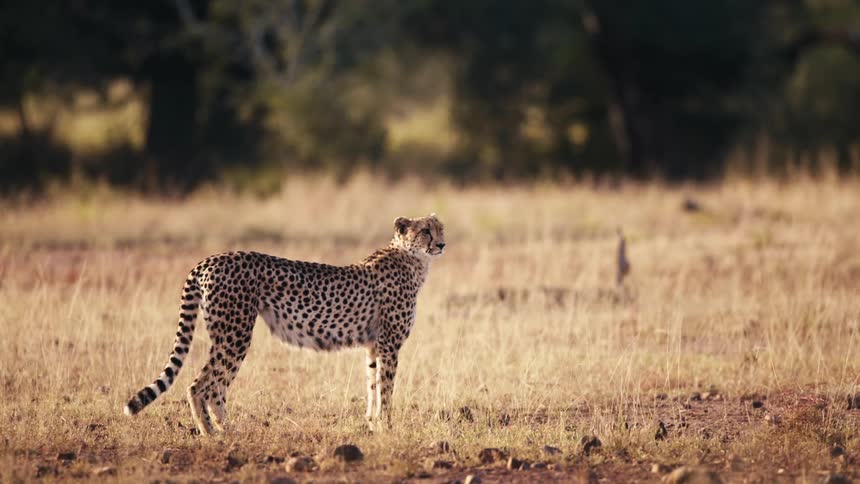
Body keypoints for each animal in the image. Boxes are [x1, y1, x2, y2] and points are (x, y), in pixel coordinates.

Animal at [123, 214, 445, 435]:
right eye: (425, 231)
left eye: (440, 228)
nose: (442, 244)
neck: (412, 259)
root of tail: (210, 259)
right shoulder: (389, 345)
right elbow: (386, 389)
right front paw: (388, 427)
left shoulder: (373, 347)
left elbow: (373, 386)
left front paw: (373, 424)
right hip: (235, 334)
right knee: (200, 386)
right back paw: (211, 434)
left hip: (229, 336)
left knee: (216, 388)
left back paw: (229, 431)